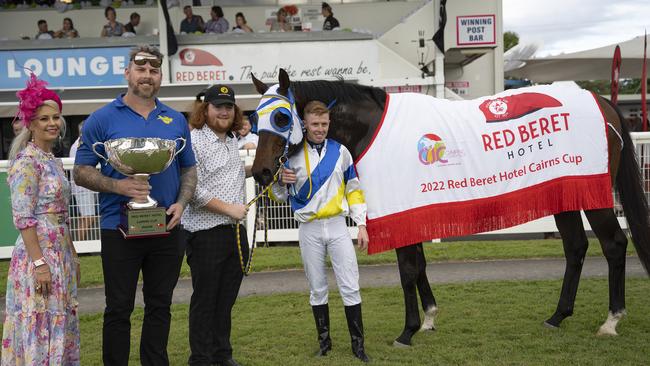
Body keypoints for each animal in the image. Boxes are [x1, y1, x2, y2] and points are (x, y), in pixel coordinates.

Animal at [249, 68, 648, 346]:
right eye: (253, 118)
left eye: (282, 117)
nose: (261, 171)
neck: (373, 128)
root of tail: (603, 103)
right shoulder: (412, 210)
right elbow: (419, 265)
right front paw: (428, 319)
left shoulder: (400, 208)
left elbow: (408, 268)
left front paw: (407, 331)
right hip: (563, 192)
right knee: (576, 246)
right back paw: (558, 316)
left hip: (593, 194)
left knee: (613, 244)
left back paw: (611, 320)